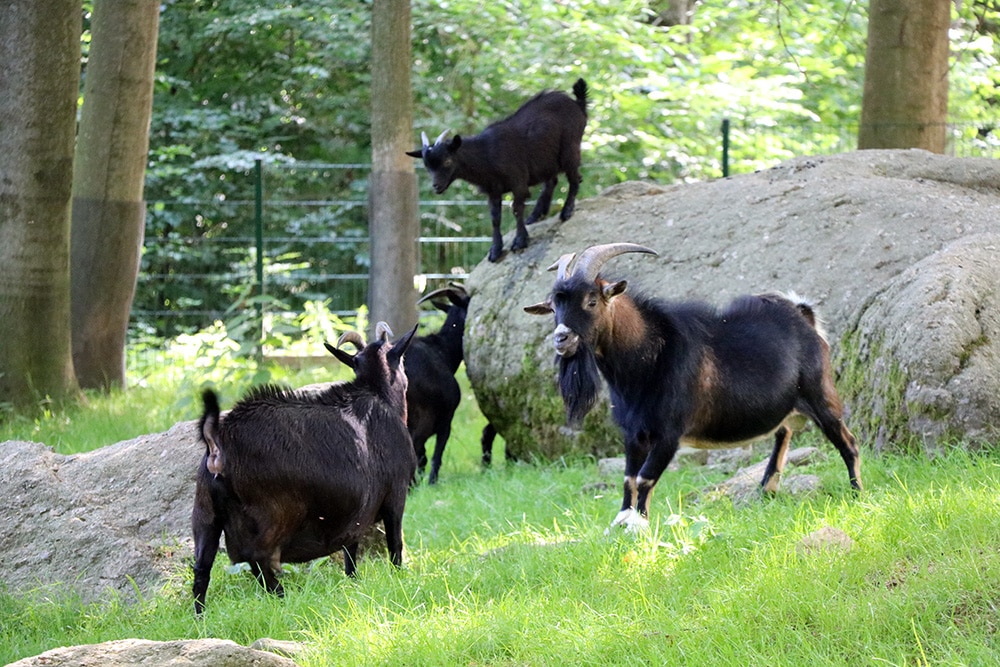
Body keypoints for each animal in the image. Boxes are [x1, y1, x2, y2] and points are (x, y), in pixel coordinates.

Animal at [191, 322, 418, 613]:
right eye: (400, 359)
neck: (379, 395)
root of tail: (219, 443)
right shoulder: (396, 495)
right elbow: (395, 544)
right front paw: (398, 578)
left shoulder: (355, 512)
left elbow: (350, 550)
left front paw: (354, 582)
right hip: (275, 513)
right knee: (259, 559)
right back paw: (280, 597)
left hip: (205, 514)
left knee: (202, 569)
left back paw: (201, 617)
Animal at [407, 78, 588, 263]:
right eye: (426, 166)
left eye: (447, 161)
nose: (436, 186)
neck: (486, 155)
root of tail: (578, 104)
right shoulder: (492, 190)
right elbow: (495, 218)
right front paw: (495, 250)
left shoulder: (518, 182)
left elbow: (516, 209)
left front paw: (520, 241)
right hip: (546, 160)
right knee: (552, 181)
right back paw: (536, 215)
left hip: (570, 148)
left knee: (575, 178)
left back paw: (566, 212)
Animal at [524, 243, 862, 531]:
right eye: (553, 307)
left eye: (591, 300)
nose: (562, 339)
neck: (648, 361)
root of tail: (804, 316)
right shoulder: (633, 434)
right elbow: (628, 479)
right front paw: (619, 523)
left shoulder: (668, 435)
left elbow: (645, 479)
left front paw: (639, 526)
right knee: (784, 433)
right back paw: (766, 491)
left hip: (821, 396)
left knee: (848, 443)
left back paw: (857, 494)